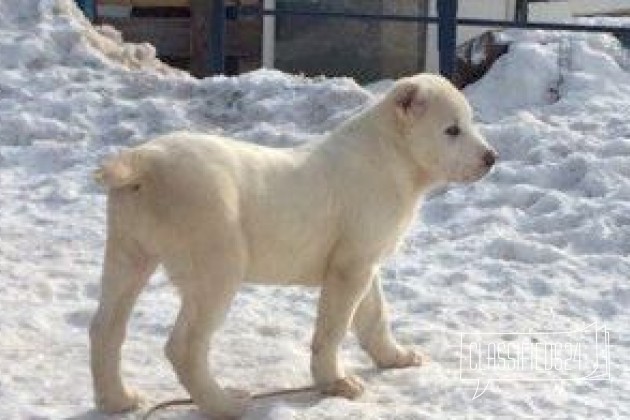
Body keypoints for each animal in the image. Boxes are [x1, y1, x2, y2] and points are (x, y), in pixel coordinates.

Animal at [91, 73, 498, 416]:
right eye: (451, 130)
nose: (491, 158)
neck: (392, 153)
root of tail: (146, 158)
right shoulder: (349, 269)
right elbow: (333, 329)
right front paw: (336, 383)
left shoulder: (362, 260)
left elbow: (374, 315)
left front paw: (394, 357)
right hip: (216, 265)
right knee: (185, 346)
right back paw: (225, 404)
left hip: (128, 254)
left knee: (106, 327)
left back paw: (117, 400)